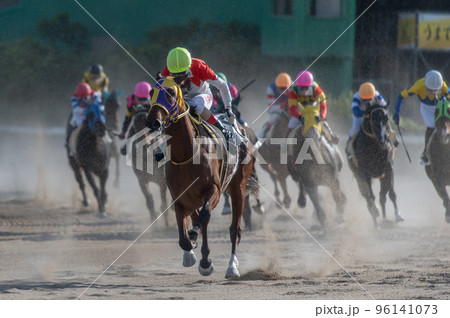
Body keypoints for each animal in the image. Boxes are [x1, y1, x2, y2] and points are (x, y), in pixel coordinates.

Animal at [144, 77, 256, 278]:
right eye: (151, 93)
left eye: (170, 93)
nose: (152, 122)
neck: (186, 152)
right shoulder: (179, 195)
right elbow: (185, 233)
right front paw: (190, 246)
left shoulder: (215, 189)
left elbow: (204, 216)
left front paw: (206, 261)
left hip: (238, 188)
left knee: (235, 229)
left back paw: (232, 267)